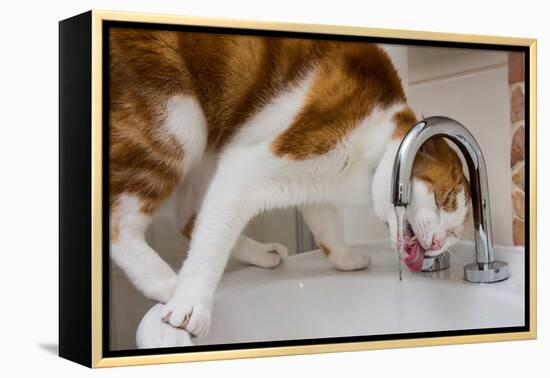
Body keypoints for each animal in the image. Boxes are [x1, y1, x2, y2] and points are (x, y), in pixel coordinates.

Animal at [110, 29, 472, 336]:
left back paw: (261, 254)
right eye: (443, 199)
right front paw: (191, 303)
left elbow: (325, 224)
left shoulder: (316, 182)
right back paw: (169, 285)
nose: (437, 243)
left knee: (190, 219)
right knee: (121, 223)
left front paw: (345, 258)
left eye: (455, 234)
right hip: (177, 121)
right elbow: (212, 242)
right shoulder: (248, 166)